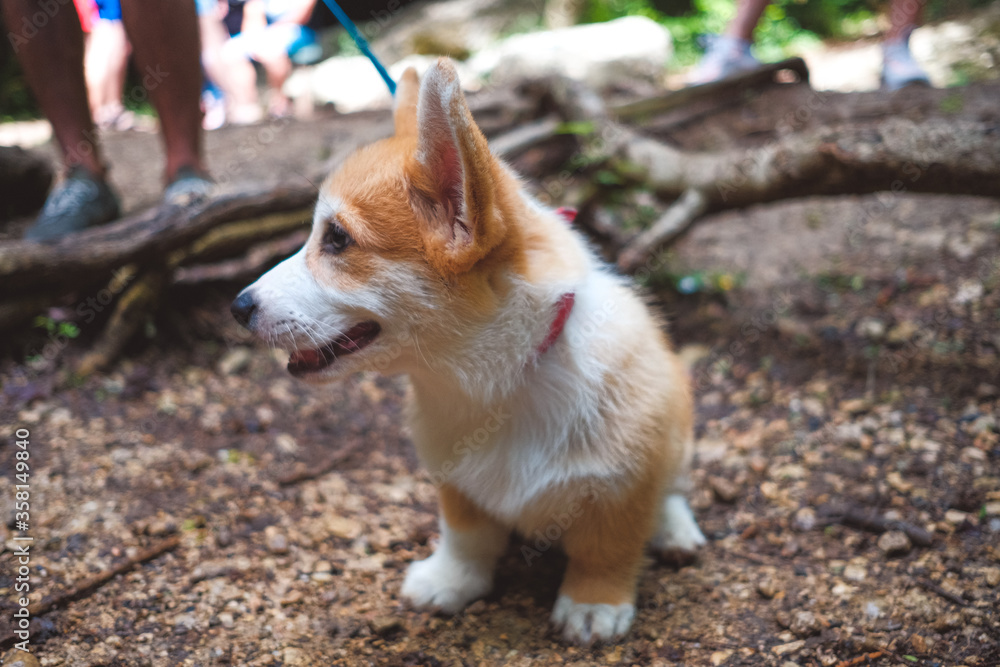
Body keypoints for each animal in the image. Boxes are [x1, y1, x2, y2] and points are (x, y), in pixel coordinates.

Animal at [231, 60, 708, 644]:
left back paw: (674, 531)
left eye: (338, 239)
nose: (237, 306)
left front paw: (594, 606)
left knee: (674, 489)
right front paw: (448, 582)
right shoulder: (455, 482)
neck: (499, 384)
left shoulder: (624, 483)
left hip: (679, 432)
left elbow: (607, 548)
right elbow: (465, 536)